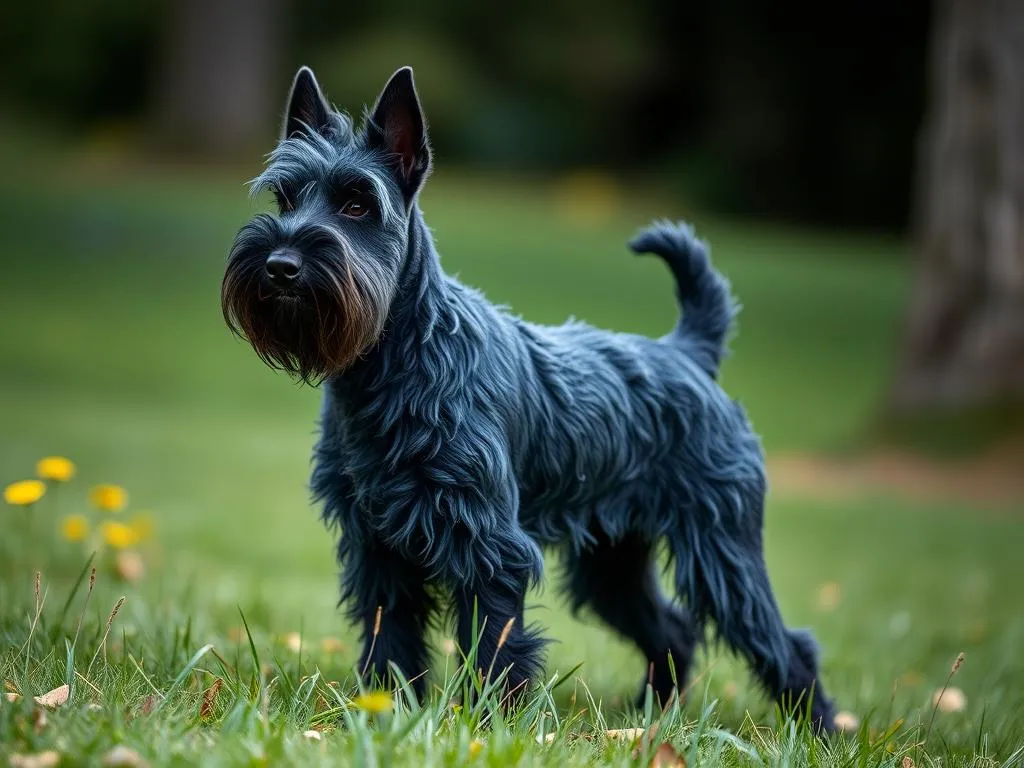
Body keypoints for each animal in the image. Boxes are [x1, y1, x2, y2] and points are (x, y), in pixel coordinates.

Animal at [220, 66, 835, 733]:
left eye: (358, 203)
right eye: (284, 198)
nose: (280, 264)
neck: (394, 366)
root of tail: (688, 353)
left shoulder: (487, 545)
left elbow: (493, 644)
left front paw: (487, 725)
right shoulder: (377, 547)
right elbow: (391, 640)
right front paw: (386, 713)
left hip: (721, 553)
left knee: (783, 643)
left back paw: (820, 731)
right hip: (612, 566)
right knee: (672, 630)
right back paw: (649, 717)